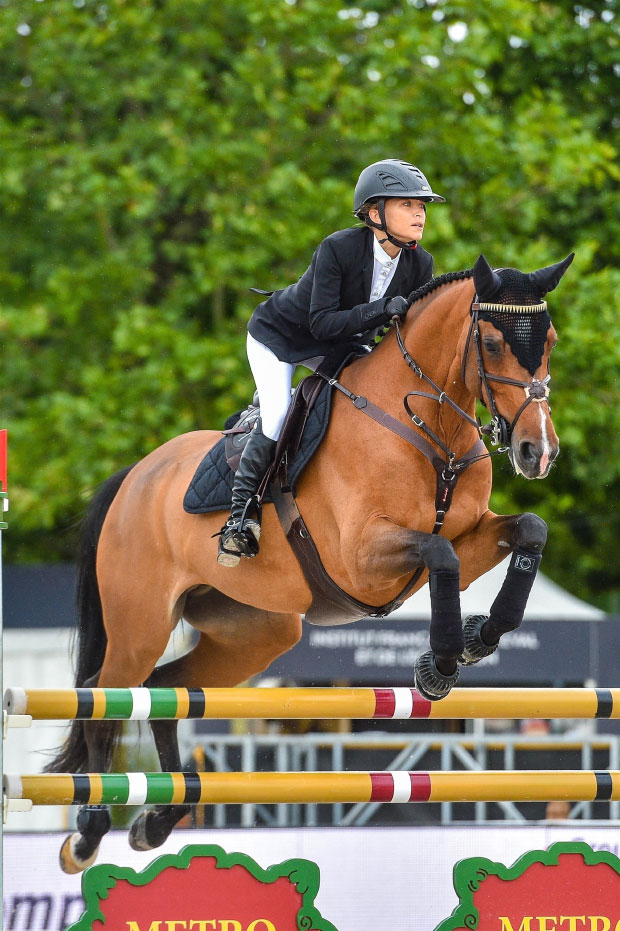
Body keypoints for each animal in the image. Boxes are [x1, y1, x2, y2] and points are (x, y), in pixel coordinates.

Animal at [47, 249, 572, 872]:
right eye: (491, 344)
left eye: (551, 340)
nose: (537, 452)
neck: (427, 426)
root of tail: (135, 476)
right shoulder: (363, 558)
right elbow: (439, 552)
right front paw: (440, 665)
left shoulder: (466, 540)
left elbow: (529, 531)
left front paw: (475, 639)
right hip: (140, 624)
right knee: (105, 696)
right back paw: (87, 834)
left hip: (256, 631)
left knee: (166, 688)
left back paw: (160, 818)